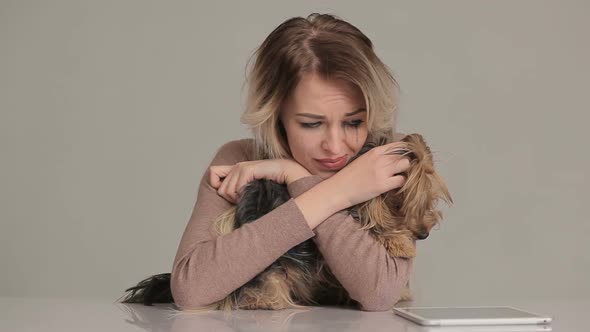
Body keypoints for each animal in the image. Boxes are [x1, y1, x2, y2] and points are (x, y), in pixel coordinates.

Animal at [119, 132, 454, 312]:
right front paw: (399, 242)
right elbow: (373, 223)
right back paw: (266, 300)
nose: (423, 235)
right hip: (267, 261)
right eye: (401, 203)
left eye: (430, 201)